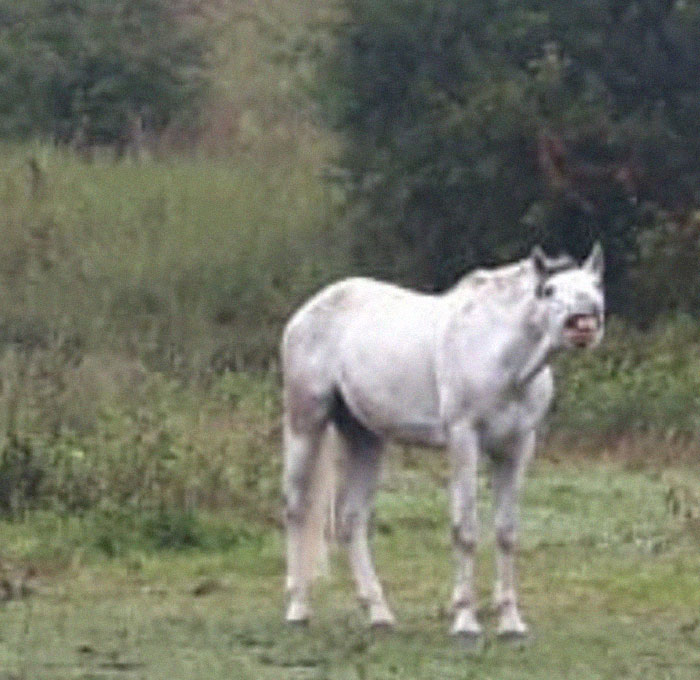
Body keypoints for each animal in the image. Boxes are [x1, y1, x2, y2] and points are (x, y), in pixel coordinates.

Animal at [281, 244, 604, 637]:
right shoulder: (463, 439)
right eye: (549, 290)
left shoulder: (517, 447)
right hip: (306, 423)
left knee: (351, 520)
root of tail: (306, 312)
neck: (498, 352)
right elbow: (464, 529)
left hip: (365, 438)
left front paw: (511, 622)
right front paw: (465, 621)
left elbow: (507, 532)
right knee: (297, 508)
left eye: (595, 285)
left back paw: (379, 614)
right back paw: (298, 608)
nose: (586, 321)